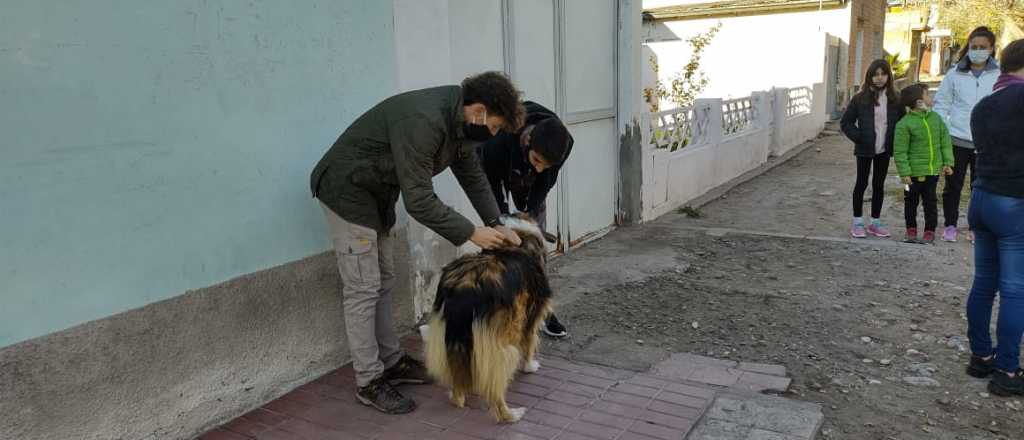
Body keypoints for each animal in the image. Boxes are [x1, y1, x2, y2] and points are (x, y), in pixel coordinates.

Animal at [423, 212, 557, 423]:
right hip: (501, 345)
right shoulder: (532, 313)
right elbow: (529, 342)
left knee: (458, 385)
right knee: (496, 388)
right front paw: (530, 367)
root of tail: (464, 287)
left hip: (452, 336)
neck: (519, 233)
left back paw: (458, 394)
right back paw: (510, 415)